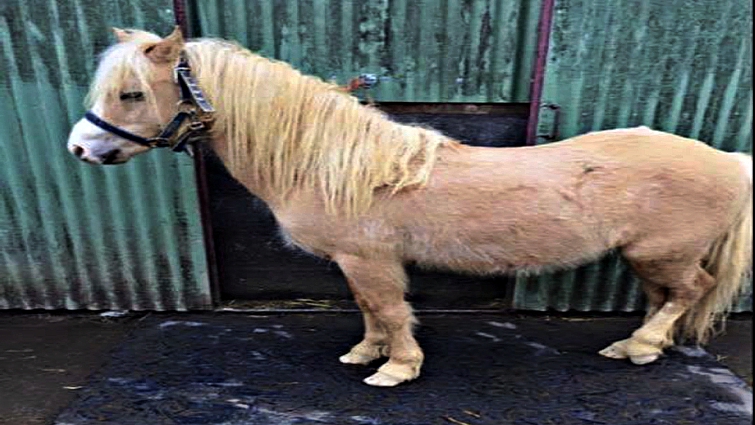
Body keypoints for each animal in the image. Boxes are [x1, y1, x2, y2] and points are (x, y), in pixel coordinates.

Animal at [66, 27, 752, 387]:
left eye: (132, 93)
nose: (80, 148)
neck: (332, 162)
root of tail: (728, 159)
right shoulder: (356, 262)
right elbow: (370, 309)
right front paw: (366, 353)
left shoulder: (369, 258)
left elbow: (393, 311)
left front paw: (396, 369)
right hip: (650, 257)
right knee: (671, 296)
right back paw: (642, 345)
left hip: (662, 253)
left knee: (688, 292)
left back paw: (640, 346)